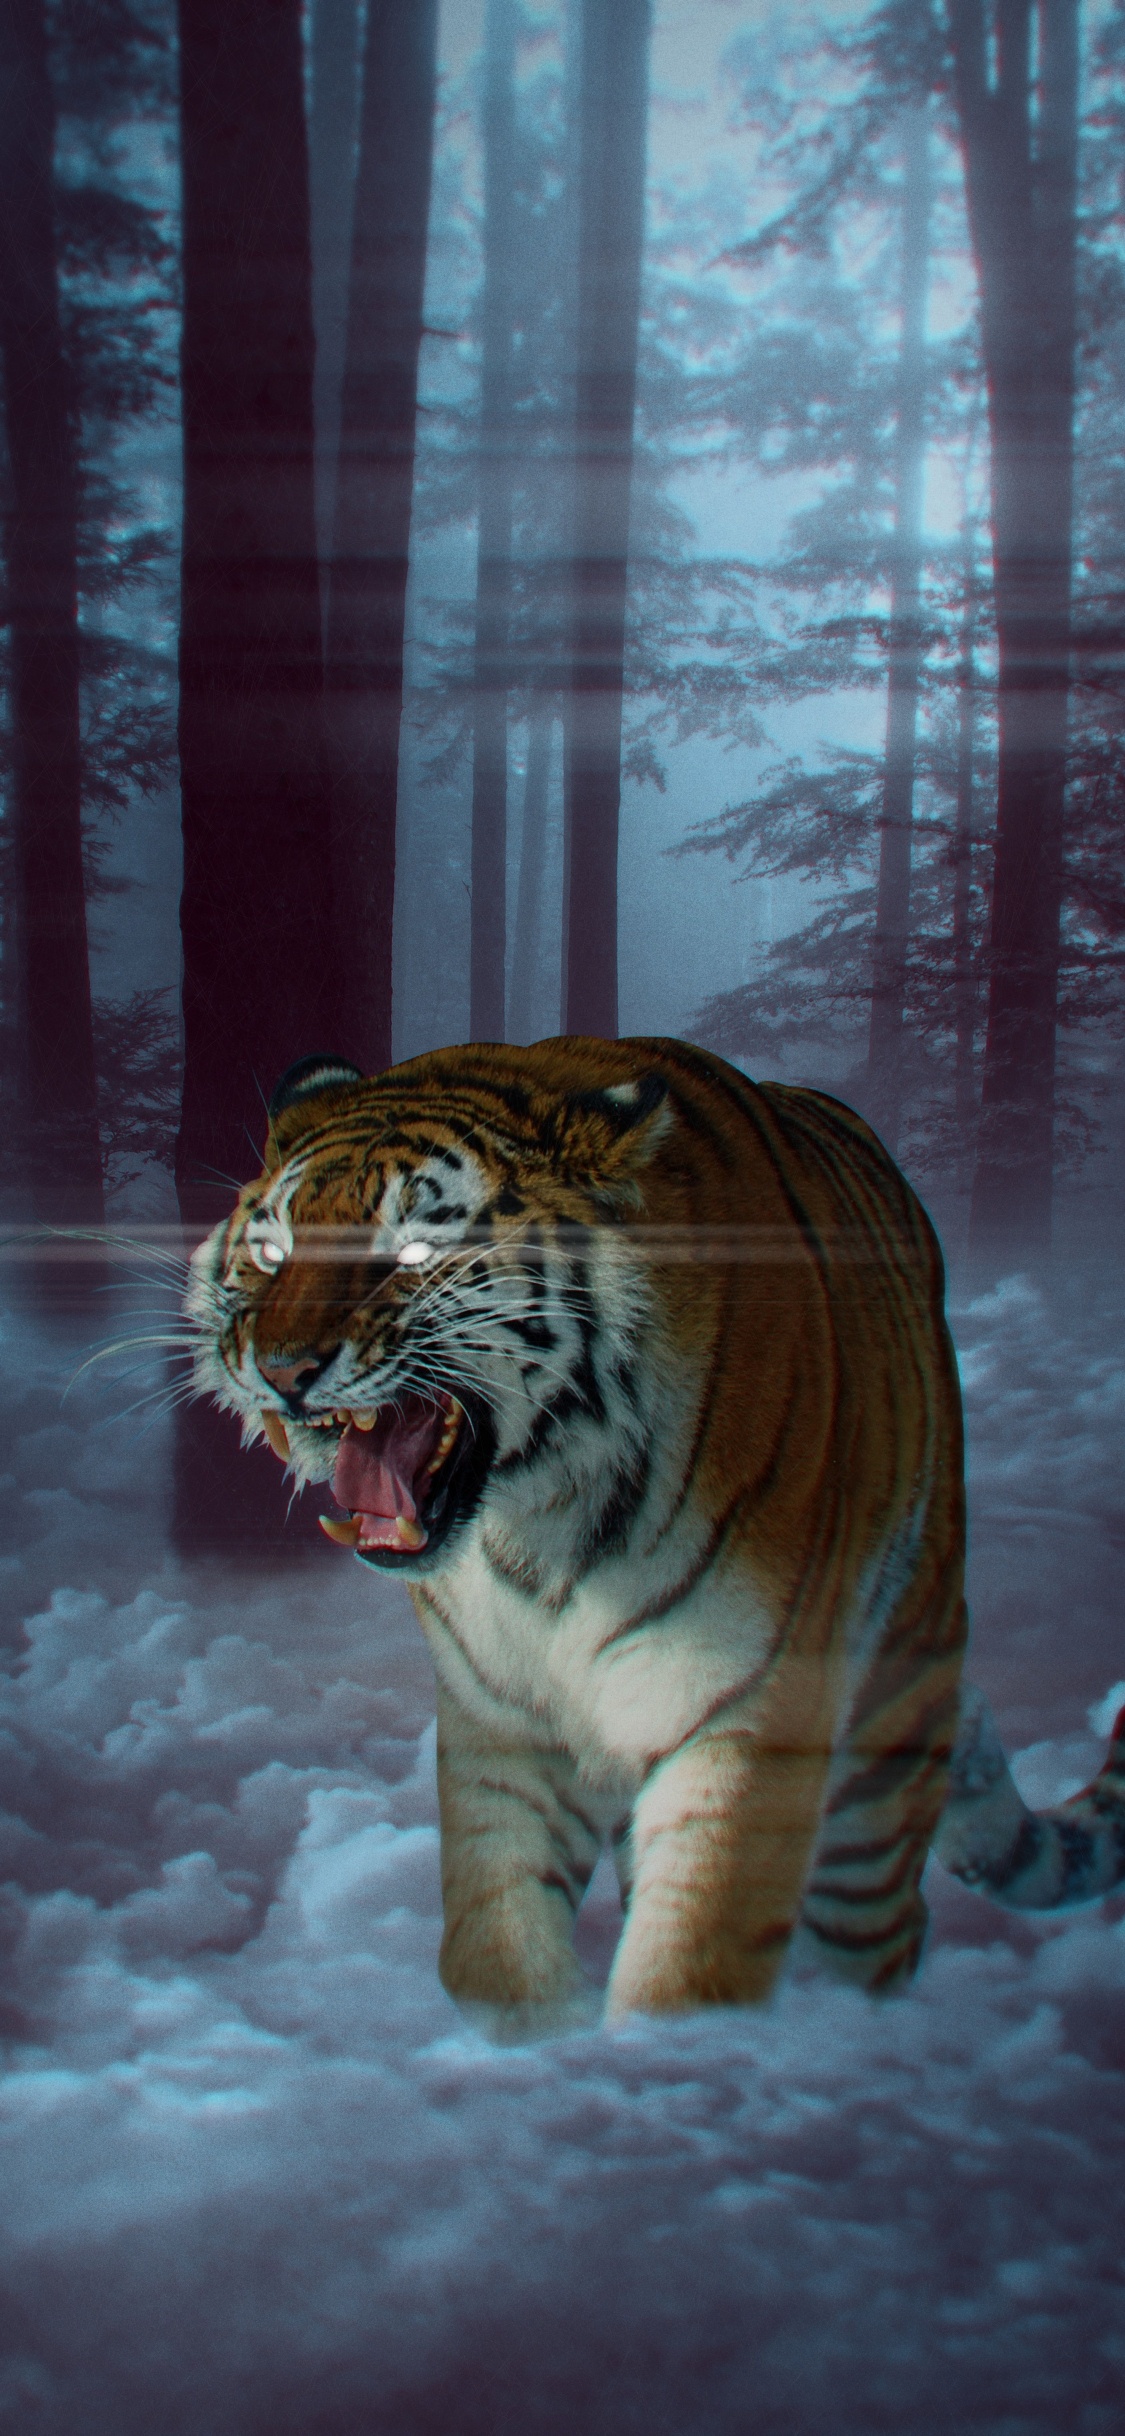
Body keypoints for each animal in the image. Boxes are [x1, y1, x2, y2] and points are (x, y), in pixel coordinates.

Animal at [185, 1034, 1125, 2028]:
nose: (282, 1369)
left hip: (886, 1738)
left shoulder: (749, 1709)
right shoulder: (499, 1721)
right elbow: (496, 1938)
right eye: (272, 1251)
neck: (538, 1520)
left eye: (412, 1251)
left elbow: (695, 1959)